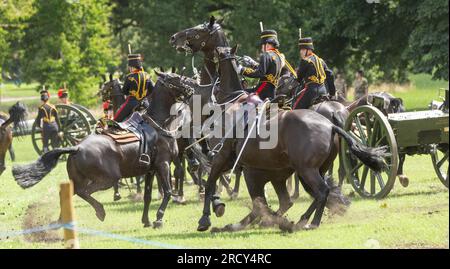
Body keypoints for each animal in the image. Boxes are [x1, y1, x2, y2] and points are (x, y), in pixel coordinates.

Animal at [13, 71, 192, 226]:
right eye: (175, 78)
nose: (191, 88)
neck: (157, 123)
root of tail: (77, 147)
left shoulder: (151, 169)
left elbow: (148, 195)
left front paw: (146, 220)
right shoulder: (163, 165)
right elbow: (167, 191)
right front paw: (158, 219)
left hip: (85, 179)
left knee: (70, 194)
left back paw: (62, 221)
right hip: (107, 179)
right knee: (83, 192)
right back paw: (99, 211)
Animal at [190, 45, 386, 231]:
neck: (231, 102)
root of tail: (330, 124)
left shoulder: (222, 157)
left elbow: (211, 184)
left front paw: (206, 217)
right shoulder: (243, 165)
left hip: (306, 170)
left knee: (321, 191)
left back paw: (310, 222)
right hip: (313, 169)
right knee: (319, 191)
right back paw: (301, 219)